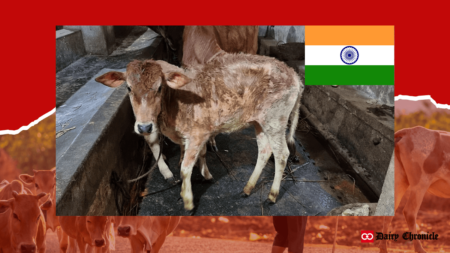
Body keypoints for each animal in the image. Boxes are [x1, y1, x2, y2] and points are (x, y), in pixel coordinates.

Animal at [96, 52, 304, 211]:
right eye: (128, 88)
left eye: (160, 87)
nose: (144, 127)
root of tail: (293, 74)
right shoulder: (200, 133)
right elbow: (200, 155)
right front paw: (206, 175)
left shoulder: (197, 134)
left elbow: (185, 167)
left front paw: (188, 201)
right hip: (260, 122)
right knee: (264, 151)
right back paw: (247, 188)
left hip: (275, 121)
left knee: (281, 154)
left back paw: (272, 195)